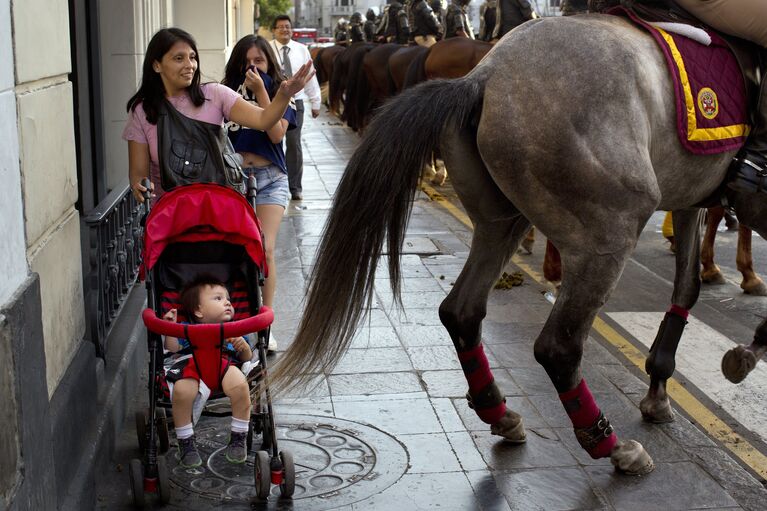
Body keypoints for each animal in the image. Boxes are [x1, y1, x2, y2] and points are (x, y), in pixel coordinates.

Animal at [270, 13, 767, 476]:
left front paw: (661, 388)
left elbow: (686, 288)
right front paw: (745, 349)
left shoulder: (689, 199)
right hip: (609, 233)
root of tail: (485, 75)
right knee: (558, 347)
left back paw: (500, 413)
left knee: (462, 310)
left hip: (502, 221)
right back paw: (609, 445)